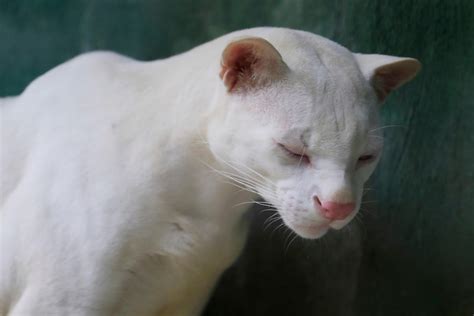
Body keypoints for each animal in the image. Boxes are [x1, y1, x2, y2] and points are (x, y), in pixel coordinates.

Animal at [0, 27, 420, 316]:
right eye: (292, 150)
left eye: (366, 157)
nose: (338, 206)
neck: (206, 204)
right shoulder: (60, 304)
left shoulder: (188, 299)